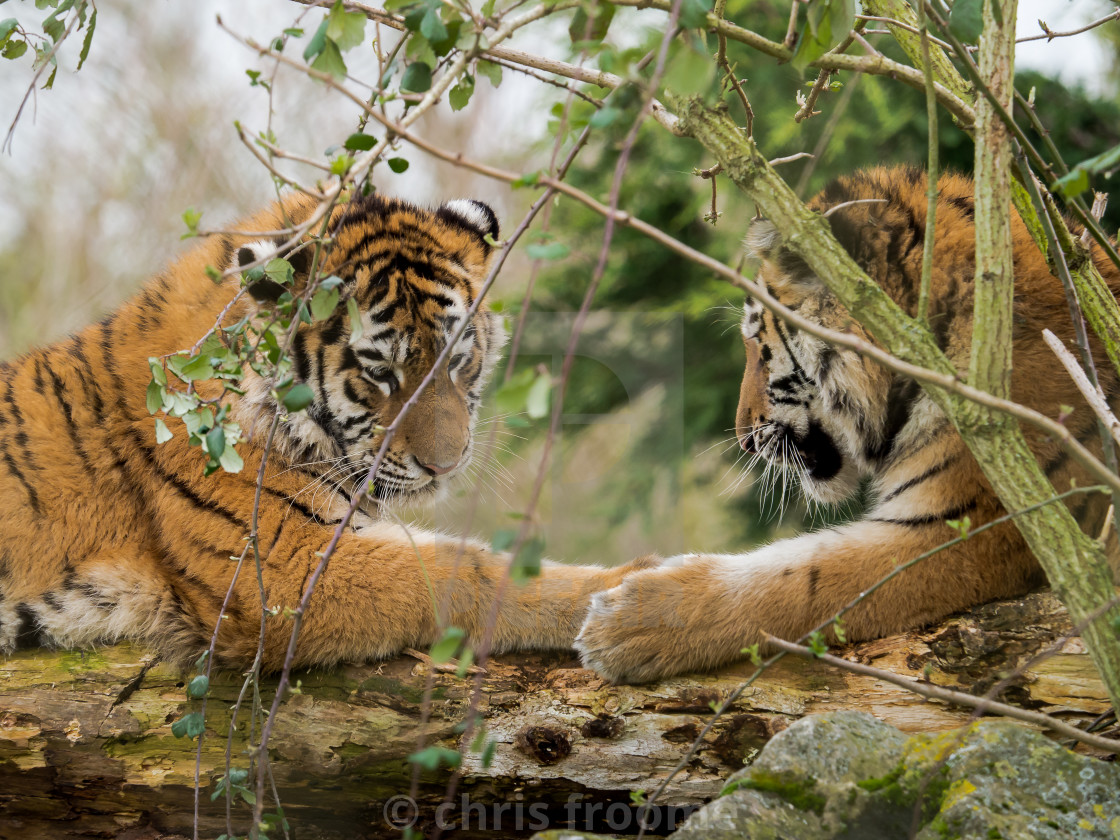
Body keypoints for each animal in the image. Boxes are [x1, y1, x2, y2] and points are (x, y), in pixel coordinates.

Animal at [0, 190, 654, 672]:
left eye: (457, 360)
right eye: (380, 372)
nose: (446, 465)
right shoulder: (282, 570)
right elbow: (462, 570)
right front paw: (624, 594)